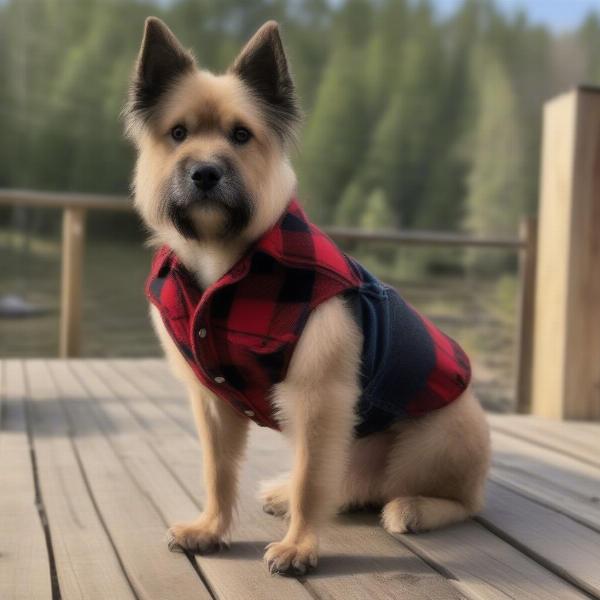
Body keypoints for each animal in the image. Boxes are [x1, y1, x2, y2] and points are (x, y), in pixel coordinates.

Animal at [123, 17, 492, 576]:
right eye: (179, 134)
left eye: (241, 135)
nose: (205, 172)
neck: (227, 260)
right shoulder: (212, 400)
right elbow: (218, 471)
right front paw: (211, 527)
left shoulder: (317, 399)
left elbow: (309, 480)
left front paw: (299, 546)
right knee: (350, 484)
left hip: (435, 436)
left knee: (461, 501)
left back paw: (413, 508)